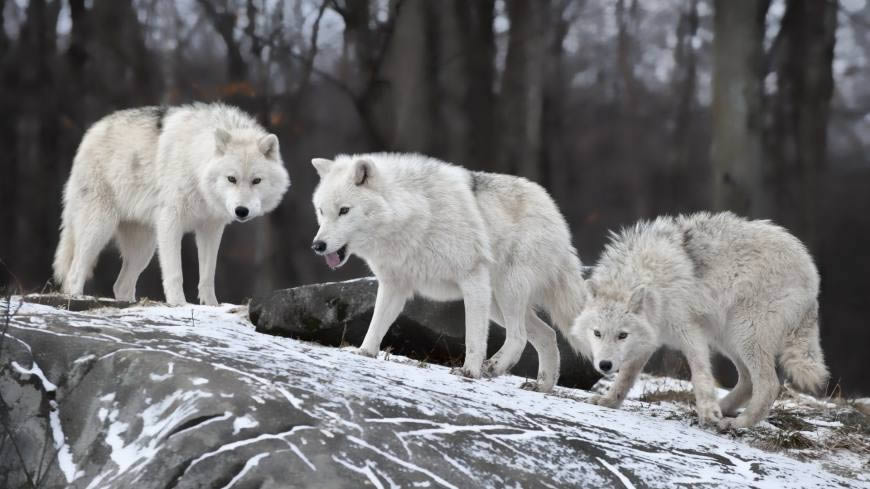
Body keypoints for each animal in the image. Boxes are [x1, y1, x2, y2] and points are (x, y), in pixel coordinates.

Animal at [52, 101, 292, 304]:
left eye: (256, 180)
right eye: (231, 179)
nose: (241, 211)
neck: (195, 163)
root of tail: (91, 132)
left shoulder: (211, 228)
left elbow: (207, 276)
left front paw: (211, 306)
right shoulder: (171, 222)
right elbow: (175, 273)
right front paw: (179, 304)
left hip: (144, 248)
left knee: (121, 285)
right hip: (100, 229)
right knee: (74, 273)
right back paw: (76, 299)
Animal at [310, 152, 588, 388]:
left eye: (344, 210)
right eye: (321, 211)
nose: (317, 245)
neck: (414, 214)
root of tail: (555, 212)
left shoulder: (472, 278)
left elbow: (473, 337)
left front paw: (469, 372)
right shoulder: (394, 285)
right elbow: (376, 324)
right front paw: (365, 353)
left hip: (506, 291)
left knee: (519, 336)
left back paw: (493, 368)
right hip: (496, 303)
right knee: (547, 334)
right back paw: (542, 386)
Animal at [572, 211, 832, 428]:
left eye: (622, 335)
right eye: (597, 333)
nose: (605, 365)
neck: (651, 278)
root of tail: (812, 274)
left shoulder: (690, 331)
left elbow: (700, 376)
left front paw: (708, 412)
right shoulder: (650, 338)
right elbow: (625, 377)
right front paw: (609, 401)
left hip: (744, 334)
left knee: (769, 385)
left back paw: (739, 423)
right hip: (727, 338)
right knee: (748, 382)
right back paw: (724, 409)